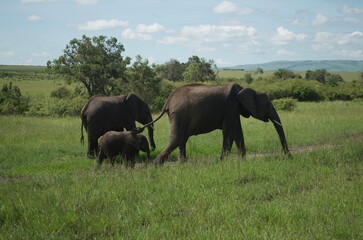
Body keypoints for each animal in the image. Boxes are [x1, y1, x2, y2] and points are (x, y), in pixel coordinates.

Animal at [145, 83, 290, 164]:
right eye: (267, 104)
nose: (289, 156)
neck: (245, 89)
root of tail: (168, 101)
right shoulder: (231, 106)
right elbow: (230, 132)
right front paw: (222, 162)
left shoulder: (234, 109)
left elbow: (238, 133)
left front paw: (242, 161)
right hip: (180, 114)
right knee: (178, 138)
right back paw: (156, 164)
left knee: (182, 139)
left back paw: (182, 164)